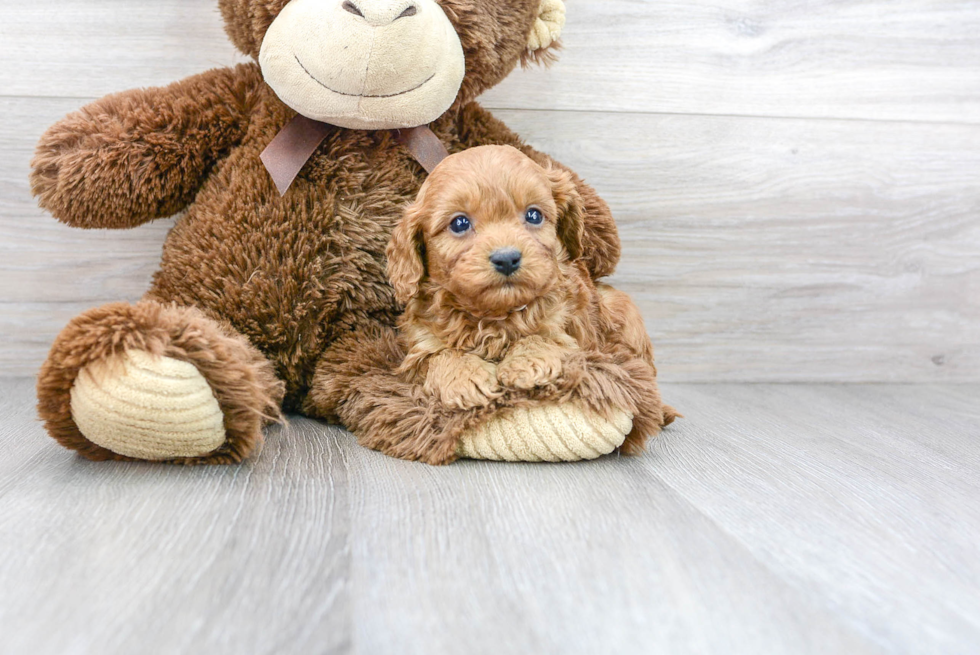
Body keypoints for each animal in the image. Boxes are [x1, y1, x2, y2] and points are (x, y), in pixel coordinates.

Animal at [386, 145, 656, 410]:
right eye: (460, 223)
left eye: (534, 215)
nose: (507, 259)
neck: (494, 316)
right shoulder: (419, 345)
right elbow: (438, 355)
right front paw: (464, 377)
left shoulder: (567, 328)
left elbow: (546, 338)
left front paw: (527, 362)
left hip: (619, 306)